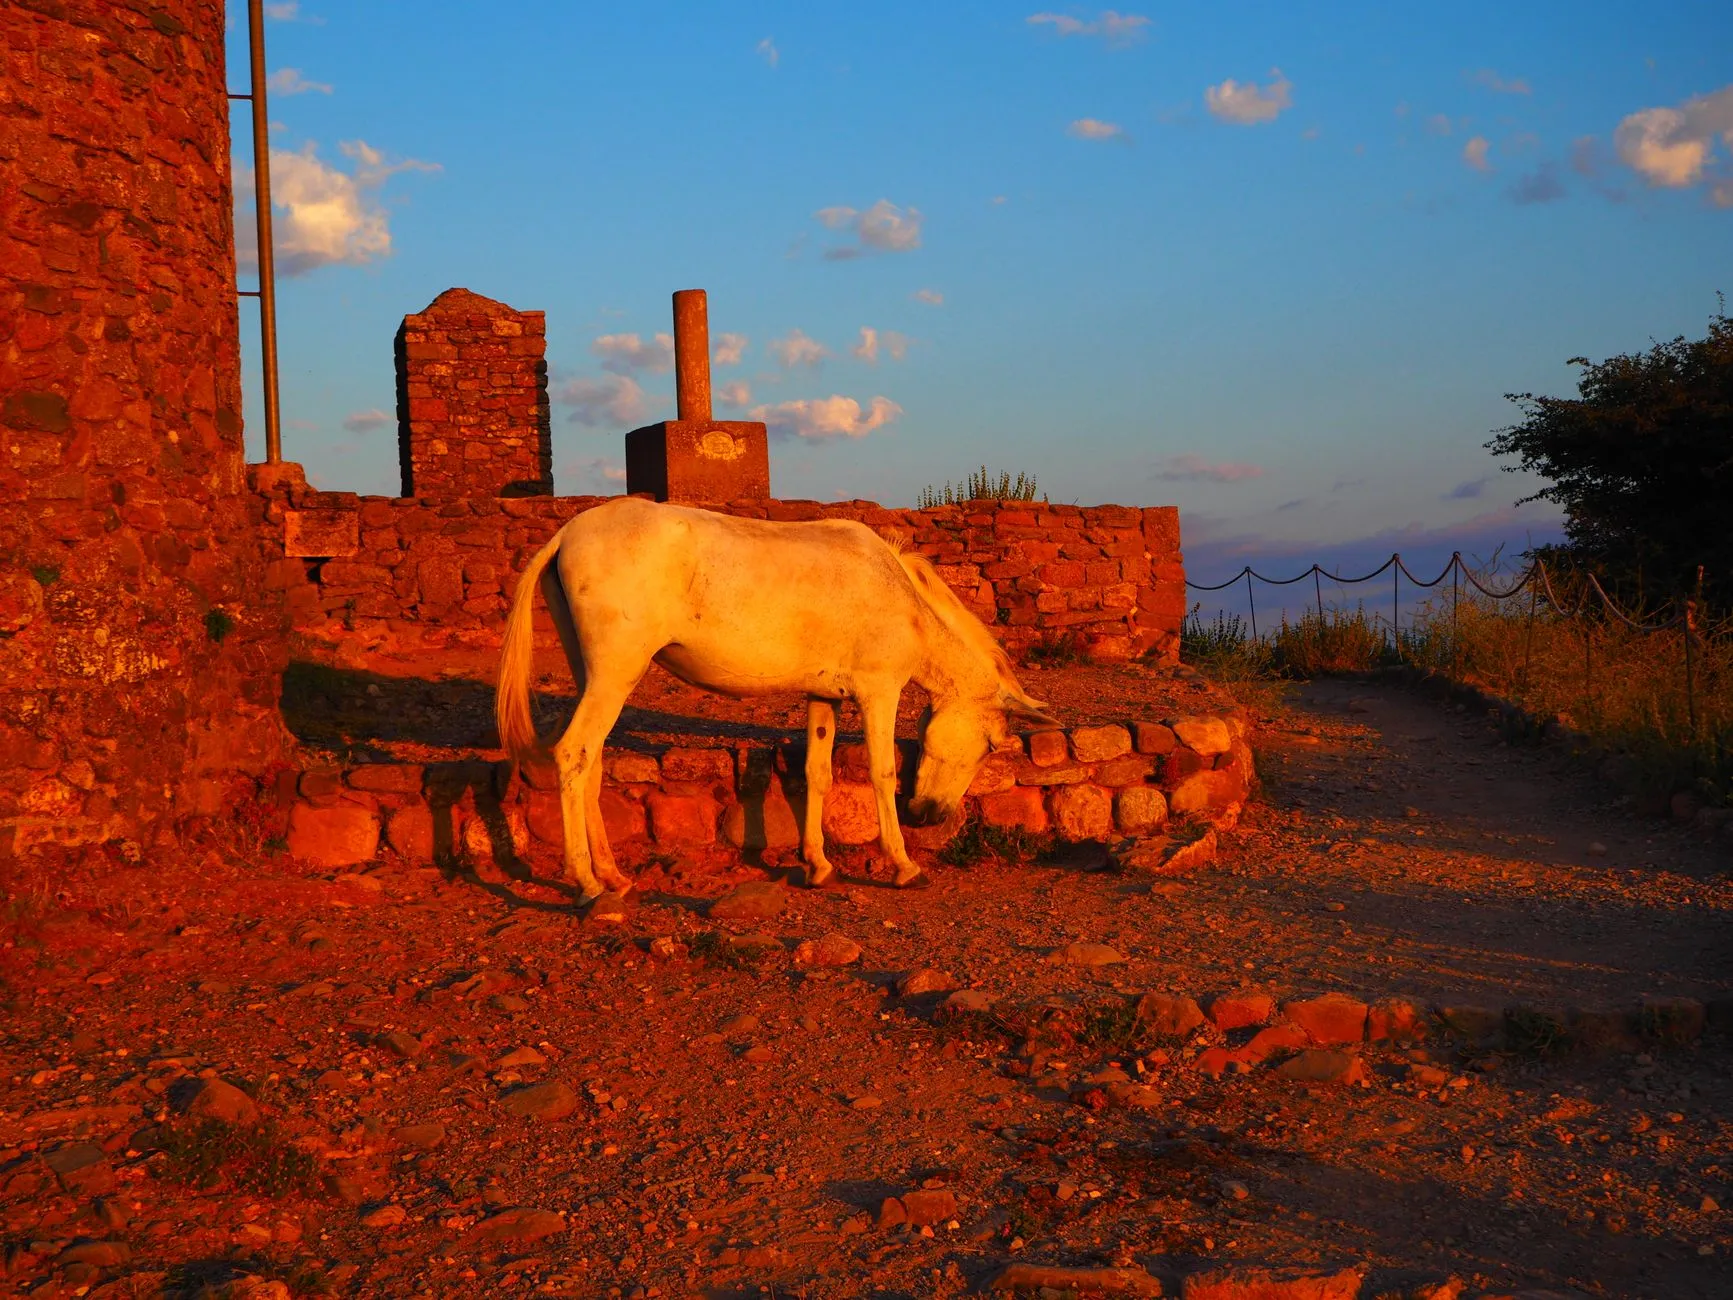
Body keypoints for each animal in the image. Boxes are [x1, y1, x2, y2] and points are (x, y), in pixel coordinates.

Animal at [494, 497, 1056, 901]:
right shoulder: (879, 693)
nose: (933, 816)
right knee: (574, 754)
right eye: (990, 745)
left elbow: (817, 773)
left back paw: (612, 876)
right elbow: (882, 773)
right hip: (613, 677)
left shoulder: (823, 696)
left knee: (589, 765)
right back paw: (587, 884)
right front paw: (904, 865)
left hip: (595, 678)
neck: (900, 596)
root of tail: (566, 534)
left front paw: (818, 865)